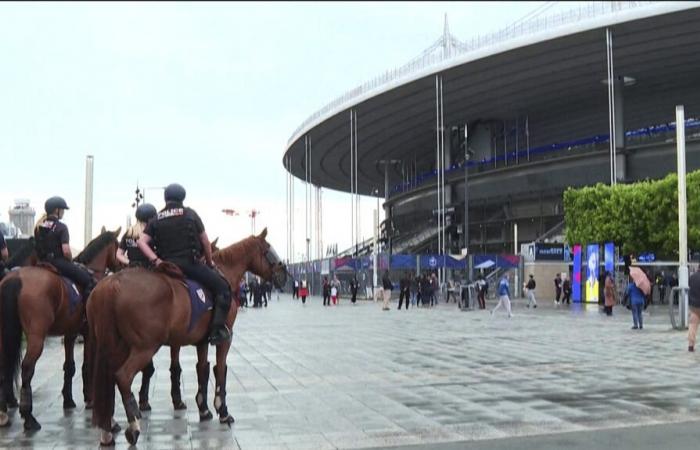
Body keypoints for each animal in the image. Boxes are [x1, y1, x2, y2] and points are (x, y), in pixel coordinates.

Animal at [0, 230, 120, 430]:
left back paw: (4, 413)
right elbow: (87, 365)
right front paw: (90, 398)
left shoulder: (70, 333)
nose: (121, 264)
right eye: (118, 246)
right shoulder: (89, 334)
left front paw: (69, 400)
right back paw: (28, 416)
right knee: (27, 368)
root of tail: (16, 278)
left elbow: (69, 366)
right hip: (36, 336)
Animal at [90, 229, 288, 446]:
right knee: (123, 376)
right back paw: (133, 426)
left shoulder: (201, 342)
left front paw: (204, 409)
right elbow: (220, 370)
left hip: (114, 346)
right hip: (145, 347)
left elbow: (202, 369)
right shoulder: (225, 339)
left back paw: (107, 430)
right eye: (269, 249)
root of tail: (112, 283)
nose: (284, 275)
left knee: (108, 379)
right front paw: (222, 411)